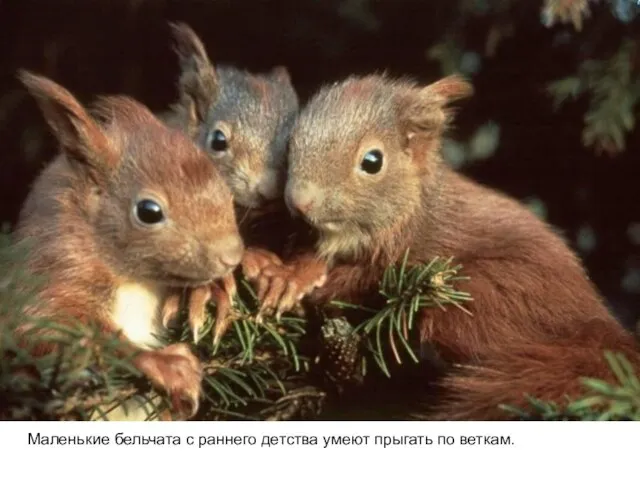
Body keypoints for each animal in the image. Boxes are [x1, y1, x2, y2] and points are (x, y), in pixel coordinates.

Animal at [10, 71, 245, 420]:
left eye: (221, 183)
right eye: (148, 212)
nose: (232, 256)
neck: (135, 279)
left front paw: (206, 292)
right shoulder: (53, 266)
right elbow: (44, 329)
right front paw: (166, 363)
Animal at [278, 73, 640, 418]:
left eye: (372, 161)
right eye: (291, 144)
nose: (299, 201)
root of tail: (594, 326)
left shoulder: (401, 253)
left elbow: (353, 280)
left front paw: (299, 284)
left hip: (481, 297)